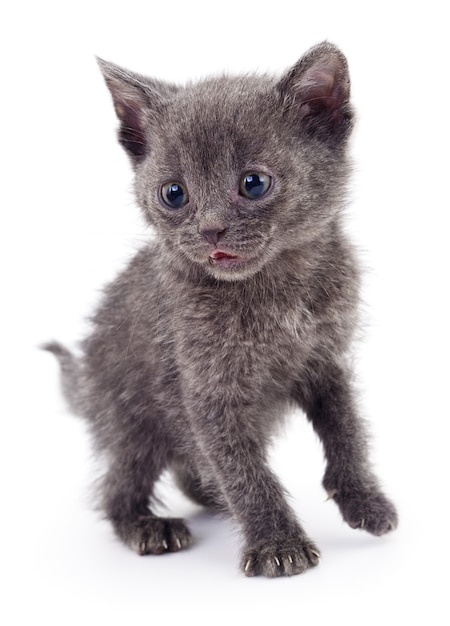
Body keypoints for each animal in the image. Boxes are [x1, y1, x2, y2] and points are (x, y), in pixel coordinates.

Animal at [44, 40, 398, 576]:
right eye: (174, 194)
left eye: (253, 183)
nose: (210, 230)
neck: (274, 289)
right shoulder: (206, 389)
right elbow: (241, 468)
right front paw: (277, 544)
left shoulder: (327, 361)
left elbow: (348, 431)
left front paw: (365, 499)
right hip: (129, 419)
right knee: (119, 488)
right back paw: (148, 526)